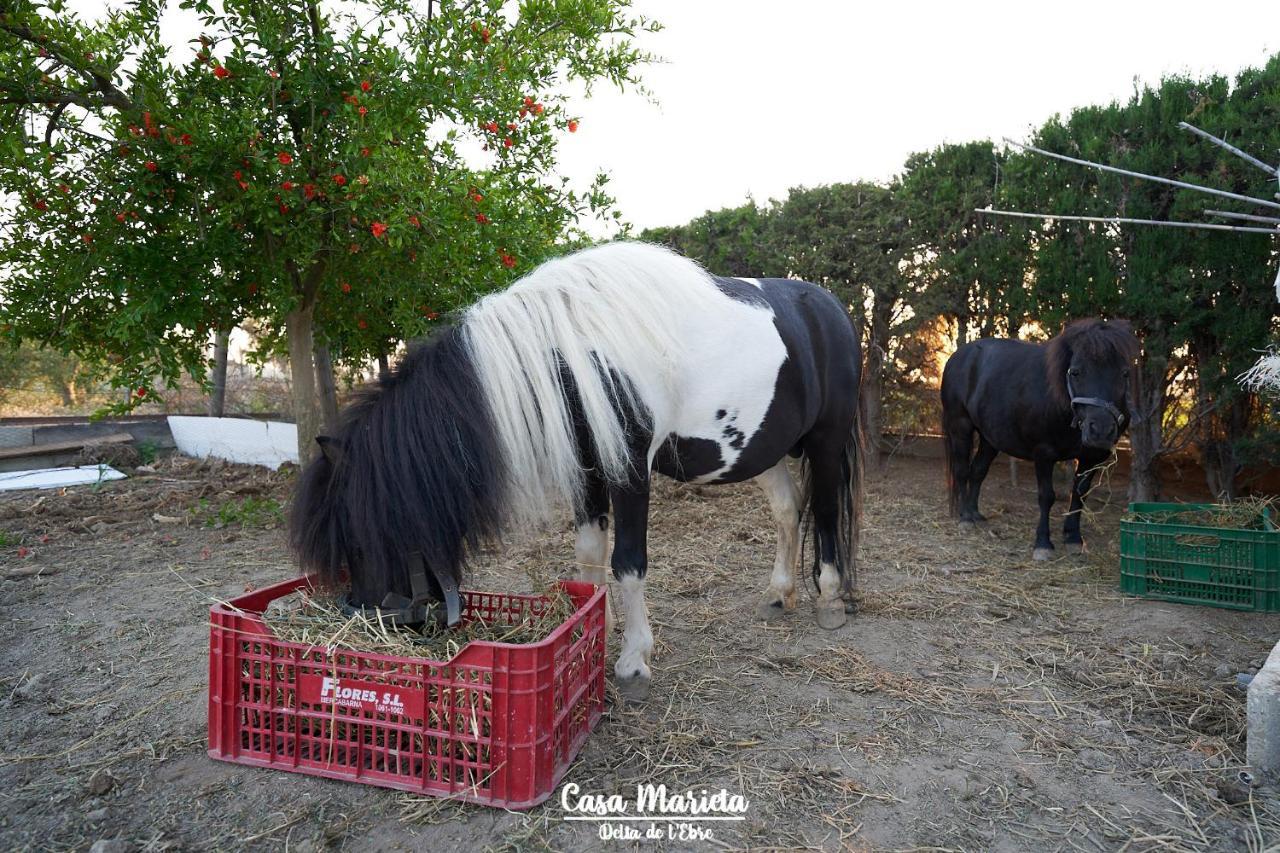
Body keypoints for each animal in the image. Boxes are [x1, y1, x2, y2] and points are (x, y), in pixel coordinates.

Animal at [293, 239, 860, 696]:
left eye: (360, 539)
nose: (363, 618)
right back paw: (780, 593)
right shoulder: (588, 467)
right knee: (788, 511)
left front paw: (633, 661)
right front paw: (592, 633)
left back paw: (830, 599)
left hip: (826, 443)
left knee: (826, 513)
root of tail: (831, 308)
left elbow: (628, 563)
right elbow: (589, 558)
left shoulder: (630, 470)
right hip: (762, 450)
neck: (573, 355)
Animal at [942, 318, 1141, 558]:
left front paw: (1074, 538)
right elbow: (1047, 496)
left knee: (978, 471)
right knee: (962, 471)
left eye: (1125, 373)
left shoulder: (1091, 457)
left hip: (989, 438)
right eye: (1076, 372)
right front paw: (1043, 544)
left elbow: (1079, 494)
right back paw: (965, 518)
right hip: (960, 427)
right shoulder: (1044, 453)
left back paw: (975, 514)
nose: (1101, 431)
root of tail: (958, 356)